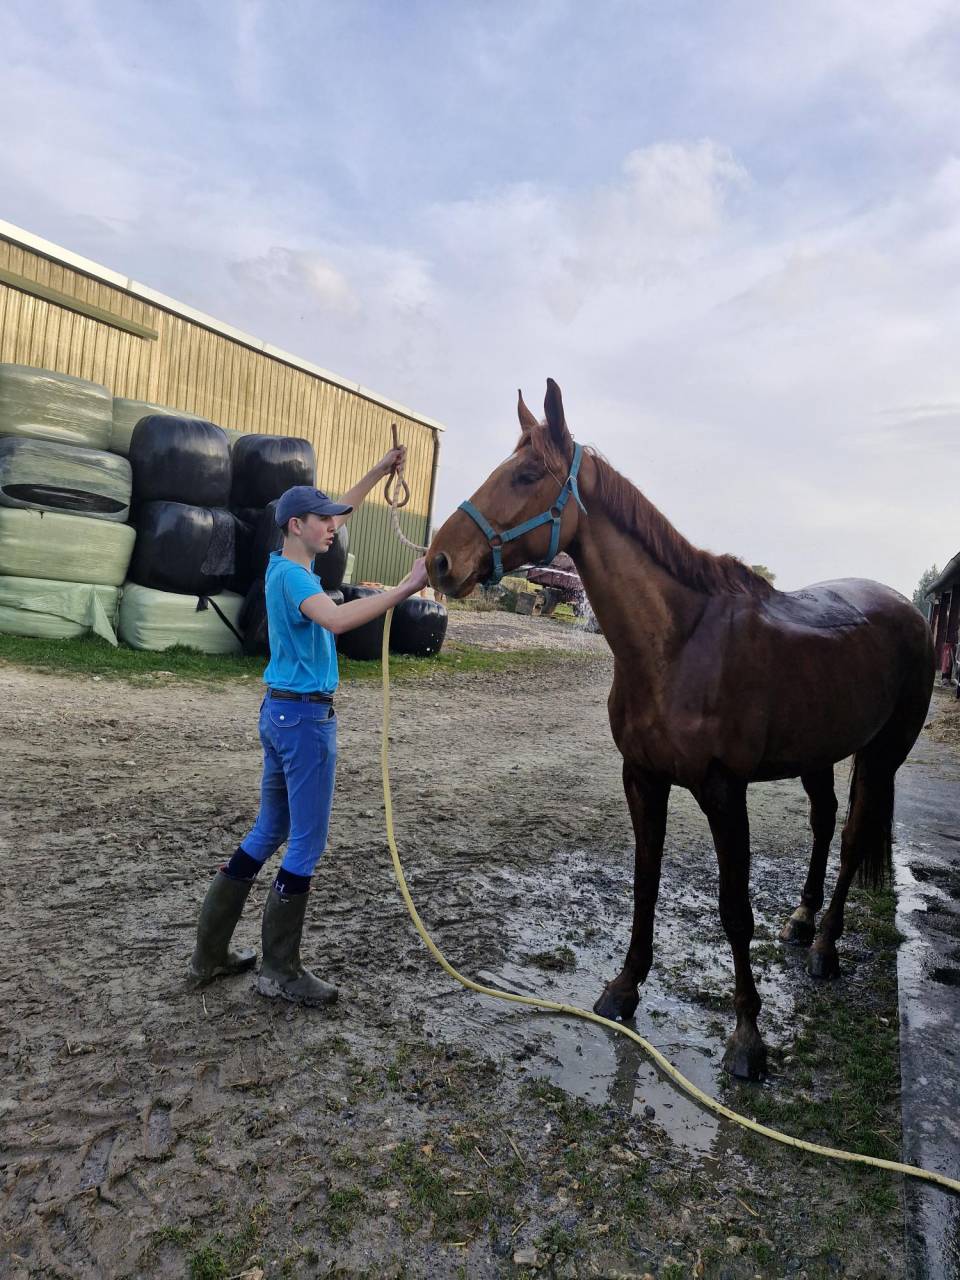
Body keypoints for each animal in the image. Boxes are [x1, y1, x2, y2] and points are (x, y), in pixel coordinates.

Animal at [426, 379, 934, 1080]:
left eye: (526, 475)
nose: (440, 561)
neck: (676, 643)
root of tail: (908, 612)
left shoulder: (723, 792)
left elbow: (735, 910)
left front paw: (748, 1039)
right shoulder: (642, 778)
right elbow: (645, 882)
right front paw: (623, 989)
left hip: (881, 756)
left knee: (854, 838)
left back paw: (825, 948)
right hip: (818, 755)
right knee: (825, 821)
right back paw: (802, 921)